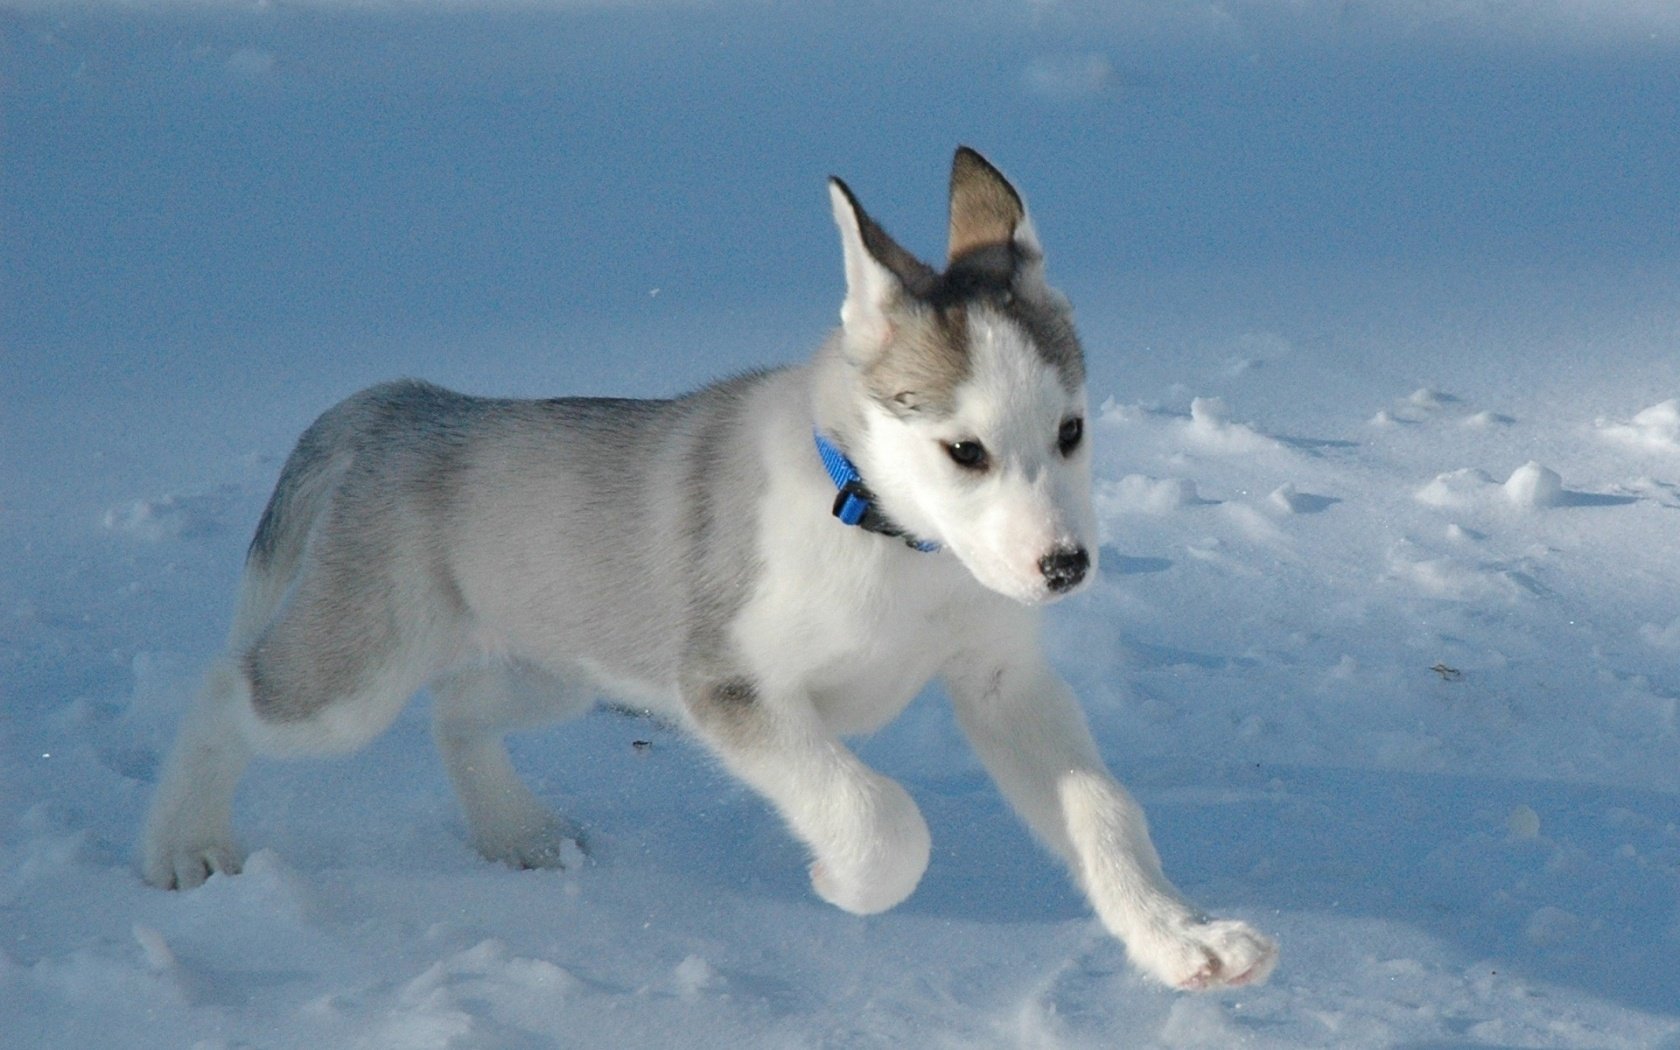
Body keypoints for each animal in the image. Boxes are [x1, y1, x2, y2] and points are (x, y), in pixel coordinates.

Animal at [141, 149, 1270, 987]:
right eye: (965, 452)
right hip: (355, 677)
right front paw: (840, 884)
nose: (1065, 567)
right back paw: (184, 847)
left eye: (1072, 431)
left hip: (557, 663)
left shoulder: (1003, 682)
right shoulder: (728, 686)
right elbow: (880, 818)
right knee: (225, 688)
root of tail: (402, 403)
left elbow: (1105, 813)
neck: (888, 537)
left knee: (455, 708)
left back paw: (516, 833)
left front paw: (1183, 939)